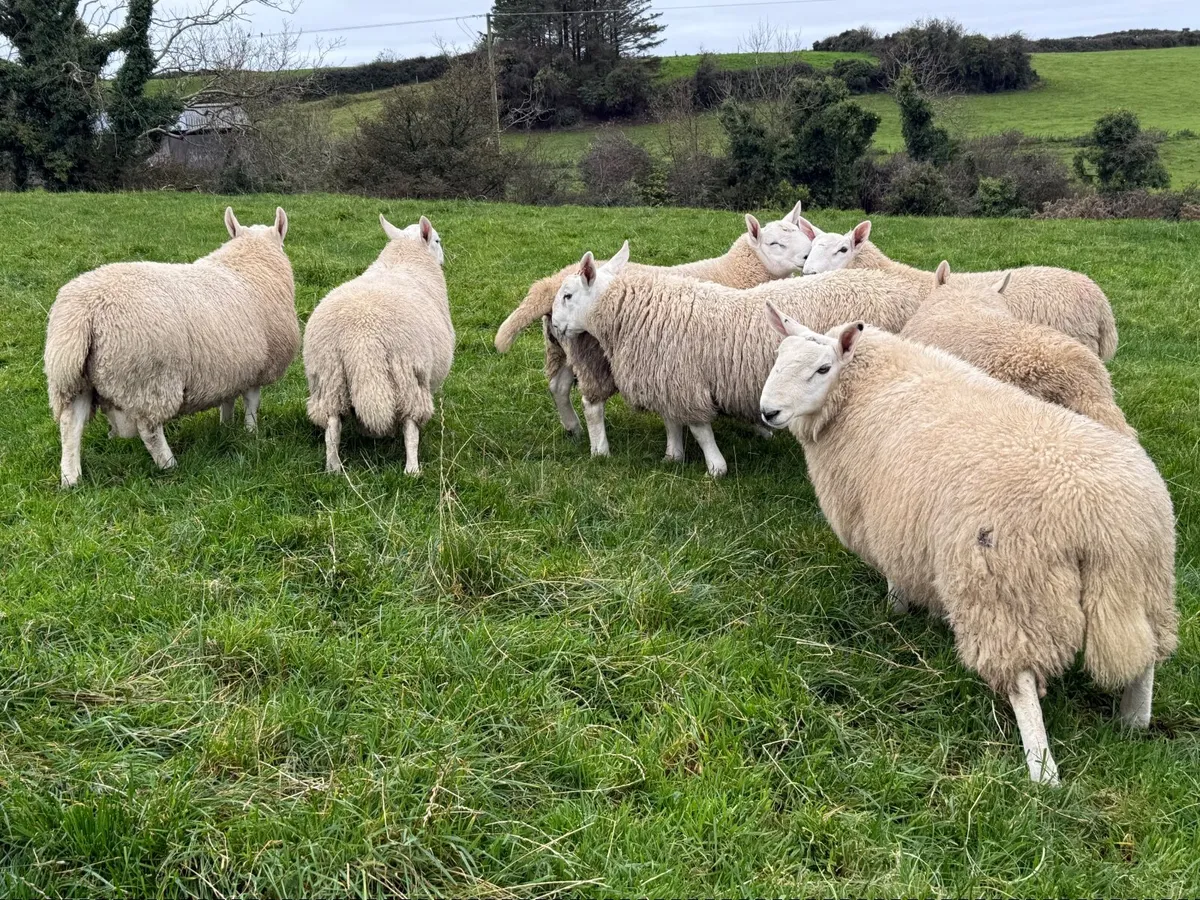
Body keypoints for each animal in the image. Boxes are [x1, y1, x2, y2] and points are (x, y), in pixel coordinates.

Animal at [45, 207, 297, 488]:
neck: (250, 261)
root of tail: (84, 312)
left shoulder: (230, 368)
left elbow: (227, 400)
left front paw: (226, 427)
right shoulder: (260, 365)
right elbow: (252, 403)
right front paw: (252, 432)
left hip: (73, 381)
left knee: (70, 425)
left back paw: (71, 478)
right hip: (148, 379)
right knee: (149, 429)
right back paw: (169, 464)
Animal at [303, 215, 453, 475]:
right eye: (437, 240)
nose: (443, 261)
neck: (405, 257)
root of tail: (362, 336)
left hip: (328, 376)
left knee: (332, 427)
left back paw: (334, 468)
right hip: (408, 374)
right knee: (410, 425)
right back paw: (412, 469)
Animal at [494, 202, 812, 456]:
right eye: (774, 244)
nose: (808, 256)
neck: (735, 272)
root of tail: (549, 284)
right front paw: (760, 429)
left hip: (563, 346)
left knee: (558, 387)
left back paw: (573, 429)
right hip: (591, 355)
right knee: (591, 403)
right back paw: (600, 450)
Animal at [549, 241, 925, 476]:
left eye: (567, 295)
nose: (553, 325)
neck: (634, 313)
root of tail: (900, 289)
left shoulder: (685, 378)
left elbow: (700, 429)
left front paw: (716, 467)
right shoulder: (668, 376)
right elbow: (672, 421)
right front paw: (673, 456)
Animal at [758, 310, 1177, 784]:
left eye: (822, 369)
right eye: (777, 358)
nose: (768, 412)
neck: (863, 386)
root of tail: (1098, 522)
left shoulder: (884, 519)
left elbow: (895, 575)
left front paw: (894, 611)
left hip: (1005, 593)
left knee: (1022, 681)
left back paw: (1042, 772)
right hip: (1143, 582)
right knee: (1146, 657)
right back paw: (1134, 723)